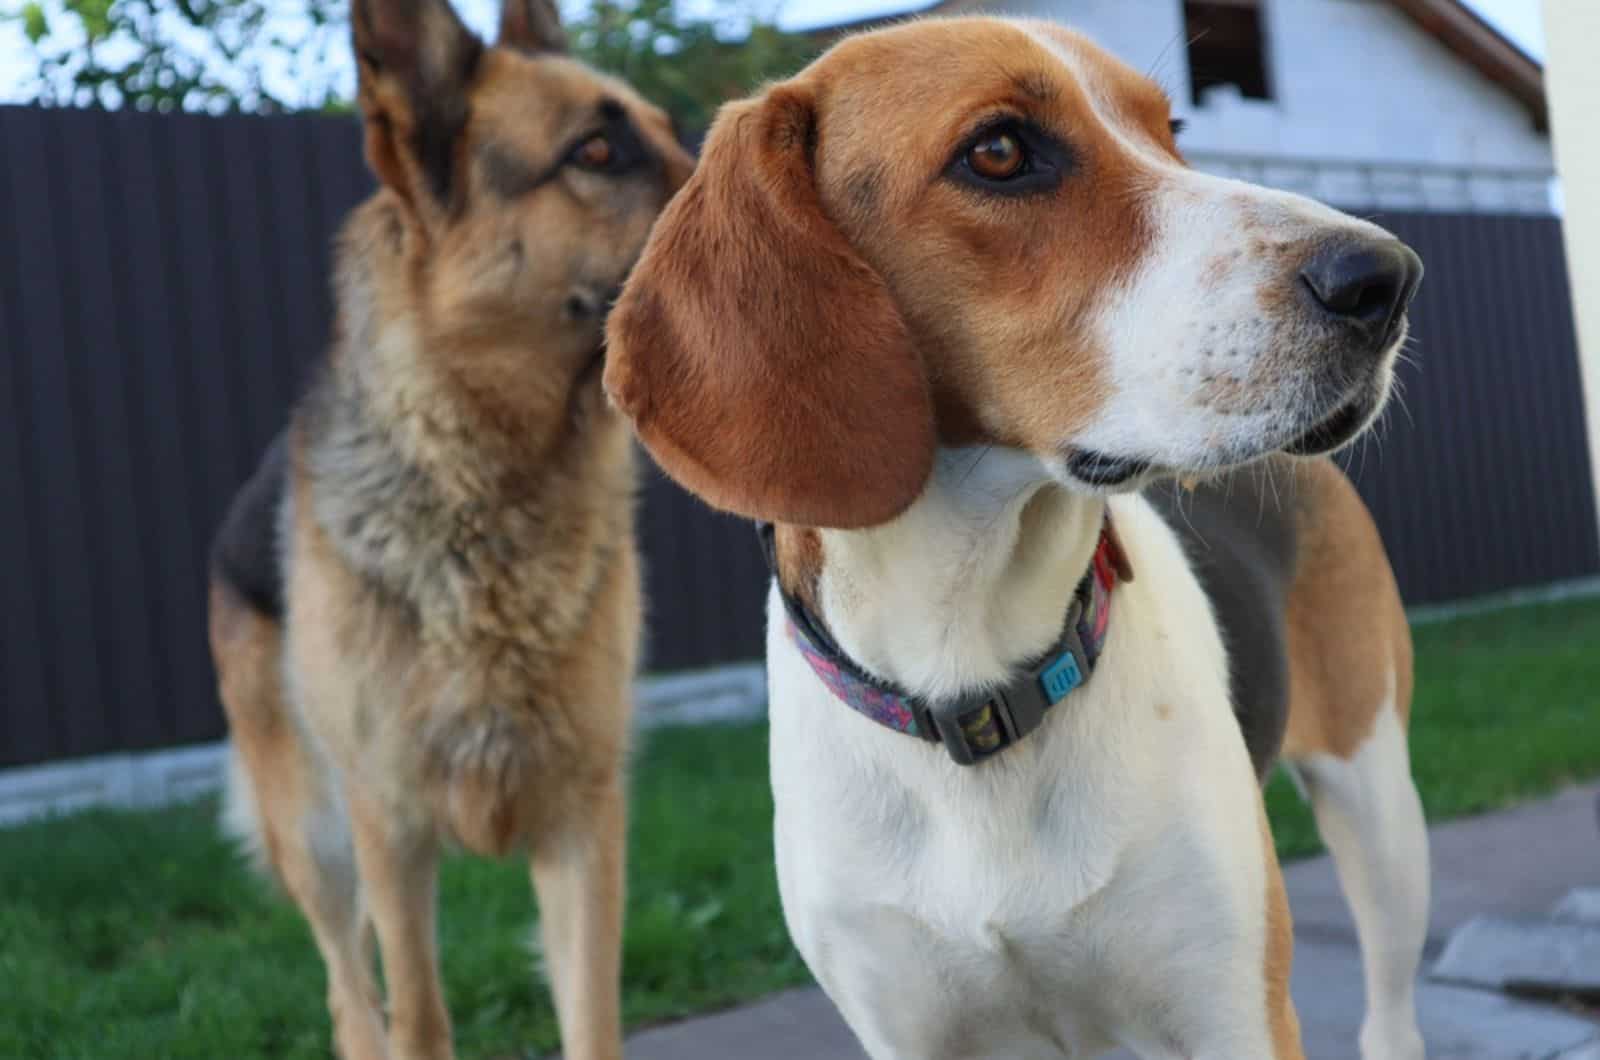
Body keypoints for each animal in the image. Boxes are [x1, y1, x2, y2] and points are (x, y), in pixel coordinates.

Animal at [604, 16, 1433, 1060]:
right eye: (998, 152)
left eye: (1171, 131)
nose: (1385, 278)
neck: (972, 663)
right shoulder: (908, 1033)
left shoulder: (1232, 1014)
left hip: (1380, 809)